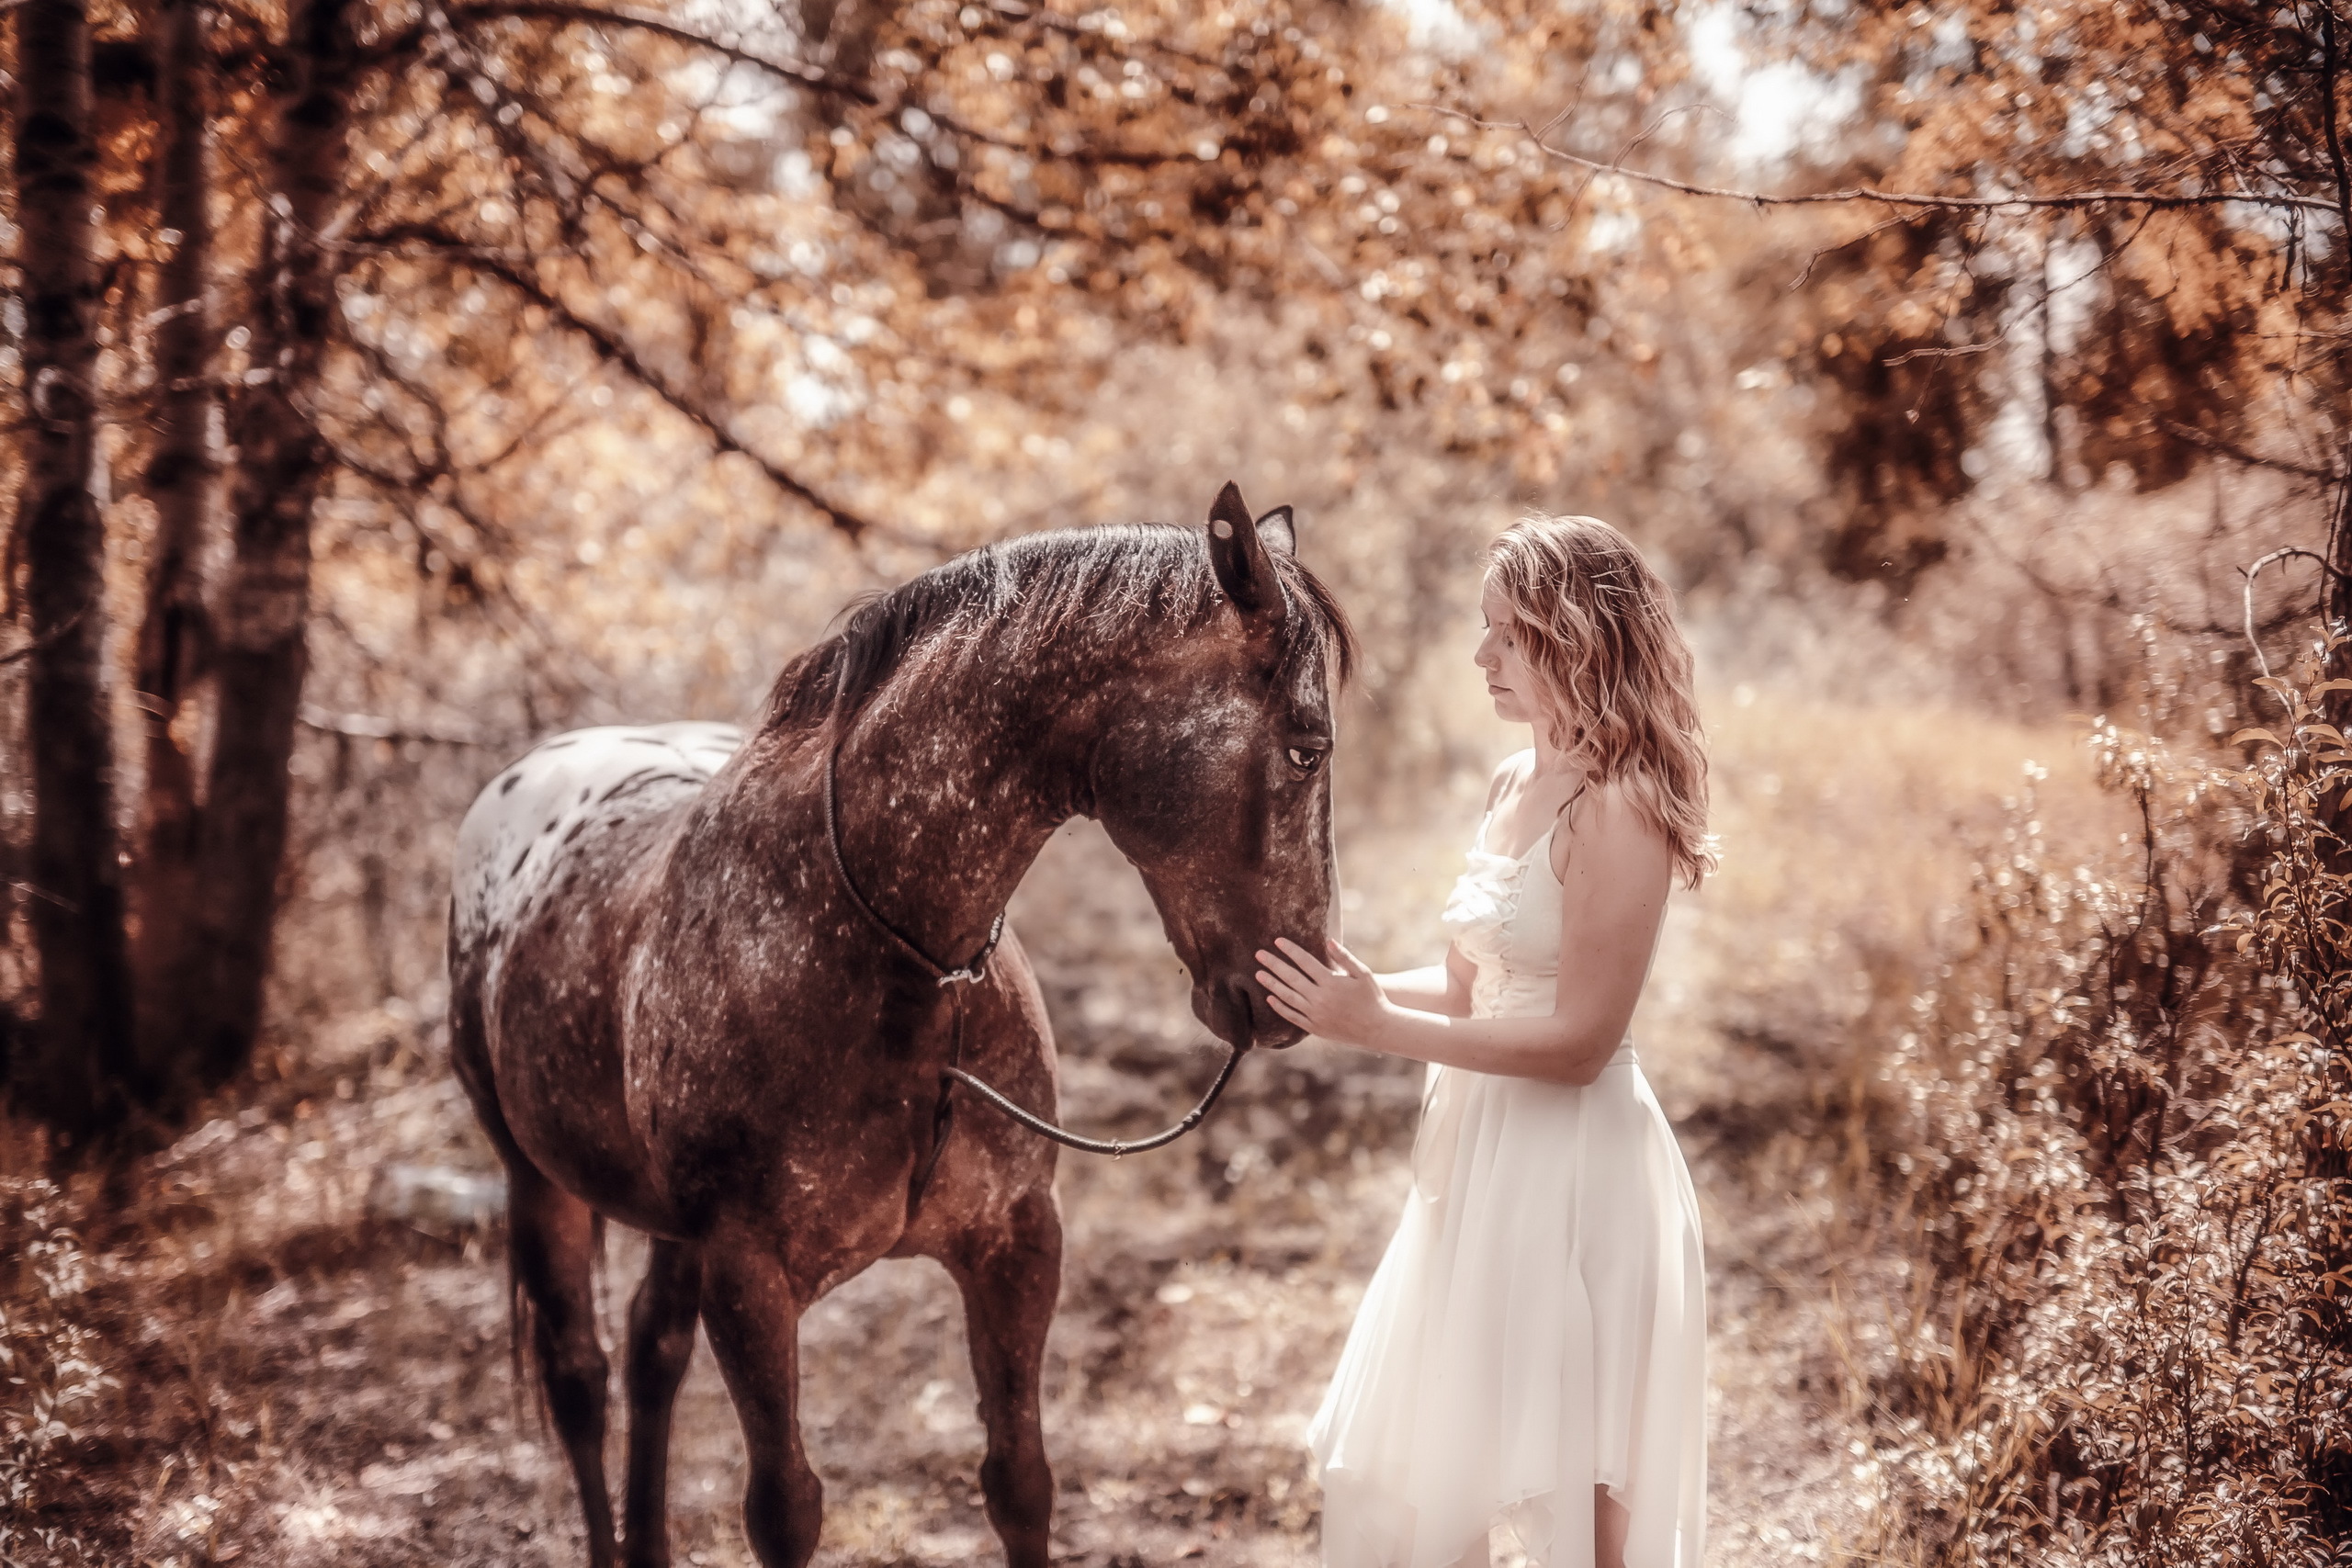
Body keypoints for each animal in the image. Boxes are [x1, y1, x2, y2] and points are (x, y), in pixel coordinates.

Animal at [447, 481, 1354, 1568]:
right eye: (1307, 749)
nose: (1298, 991)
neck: (895, 959)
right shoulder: (749, 1282)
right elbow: (784, 1509)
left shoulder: (1015, 1246)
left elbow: (1020, 1482)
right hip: (538, 1185)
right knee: (580, 1382)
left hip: (667, 1228)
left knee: (650, 1354)